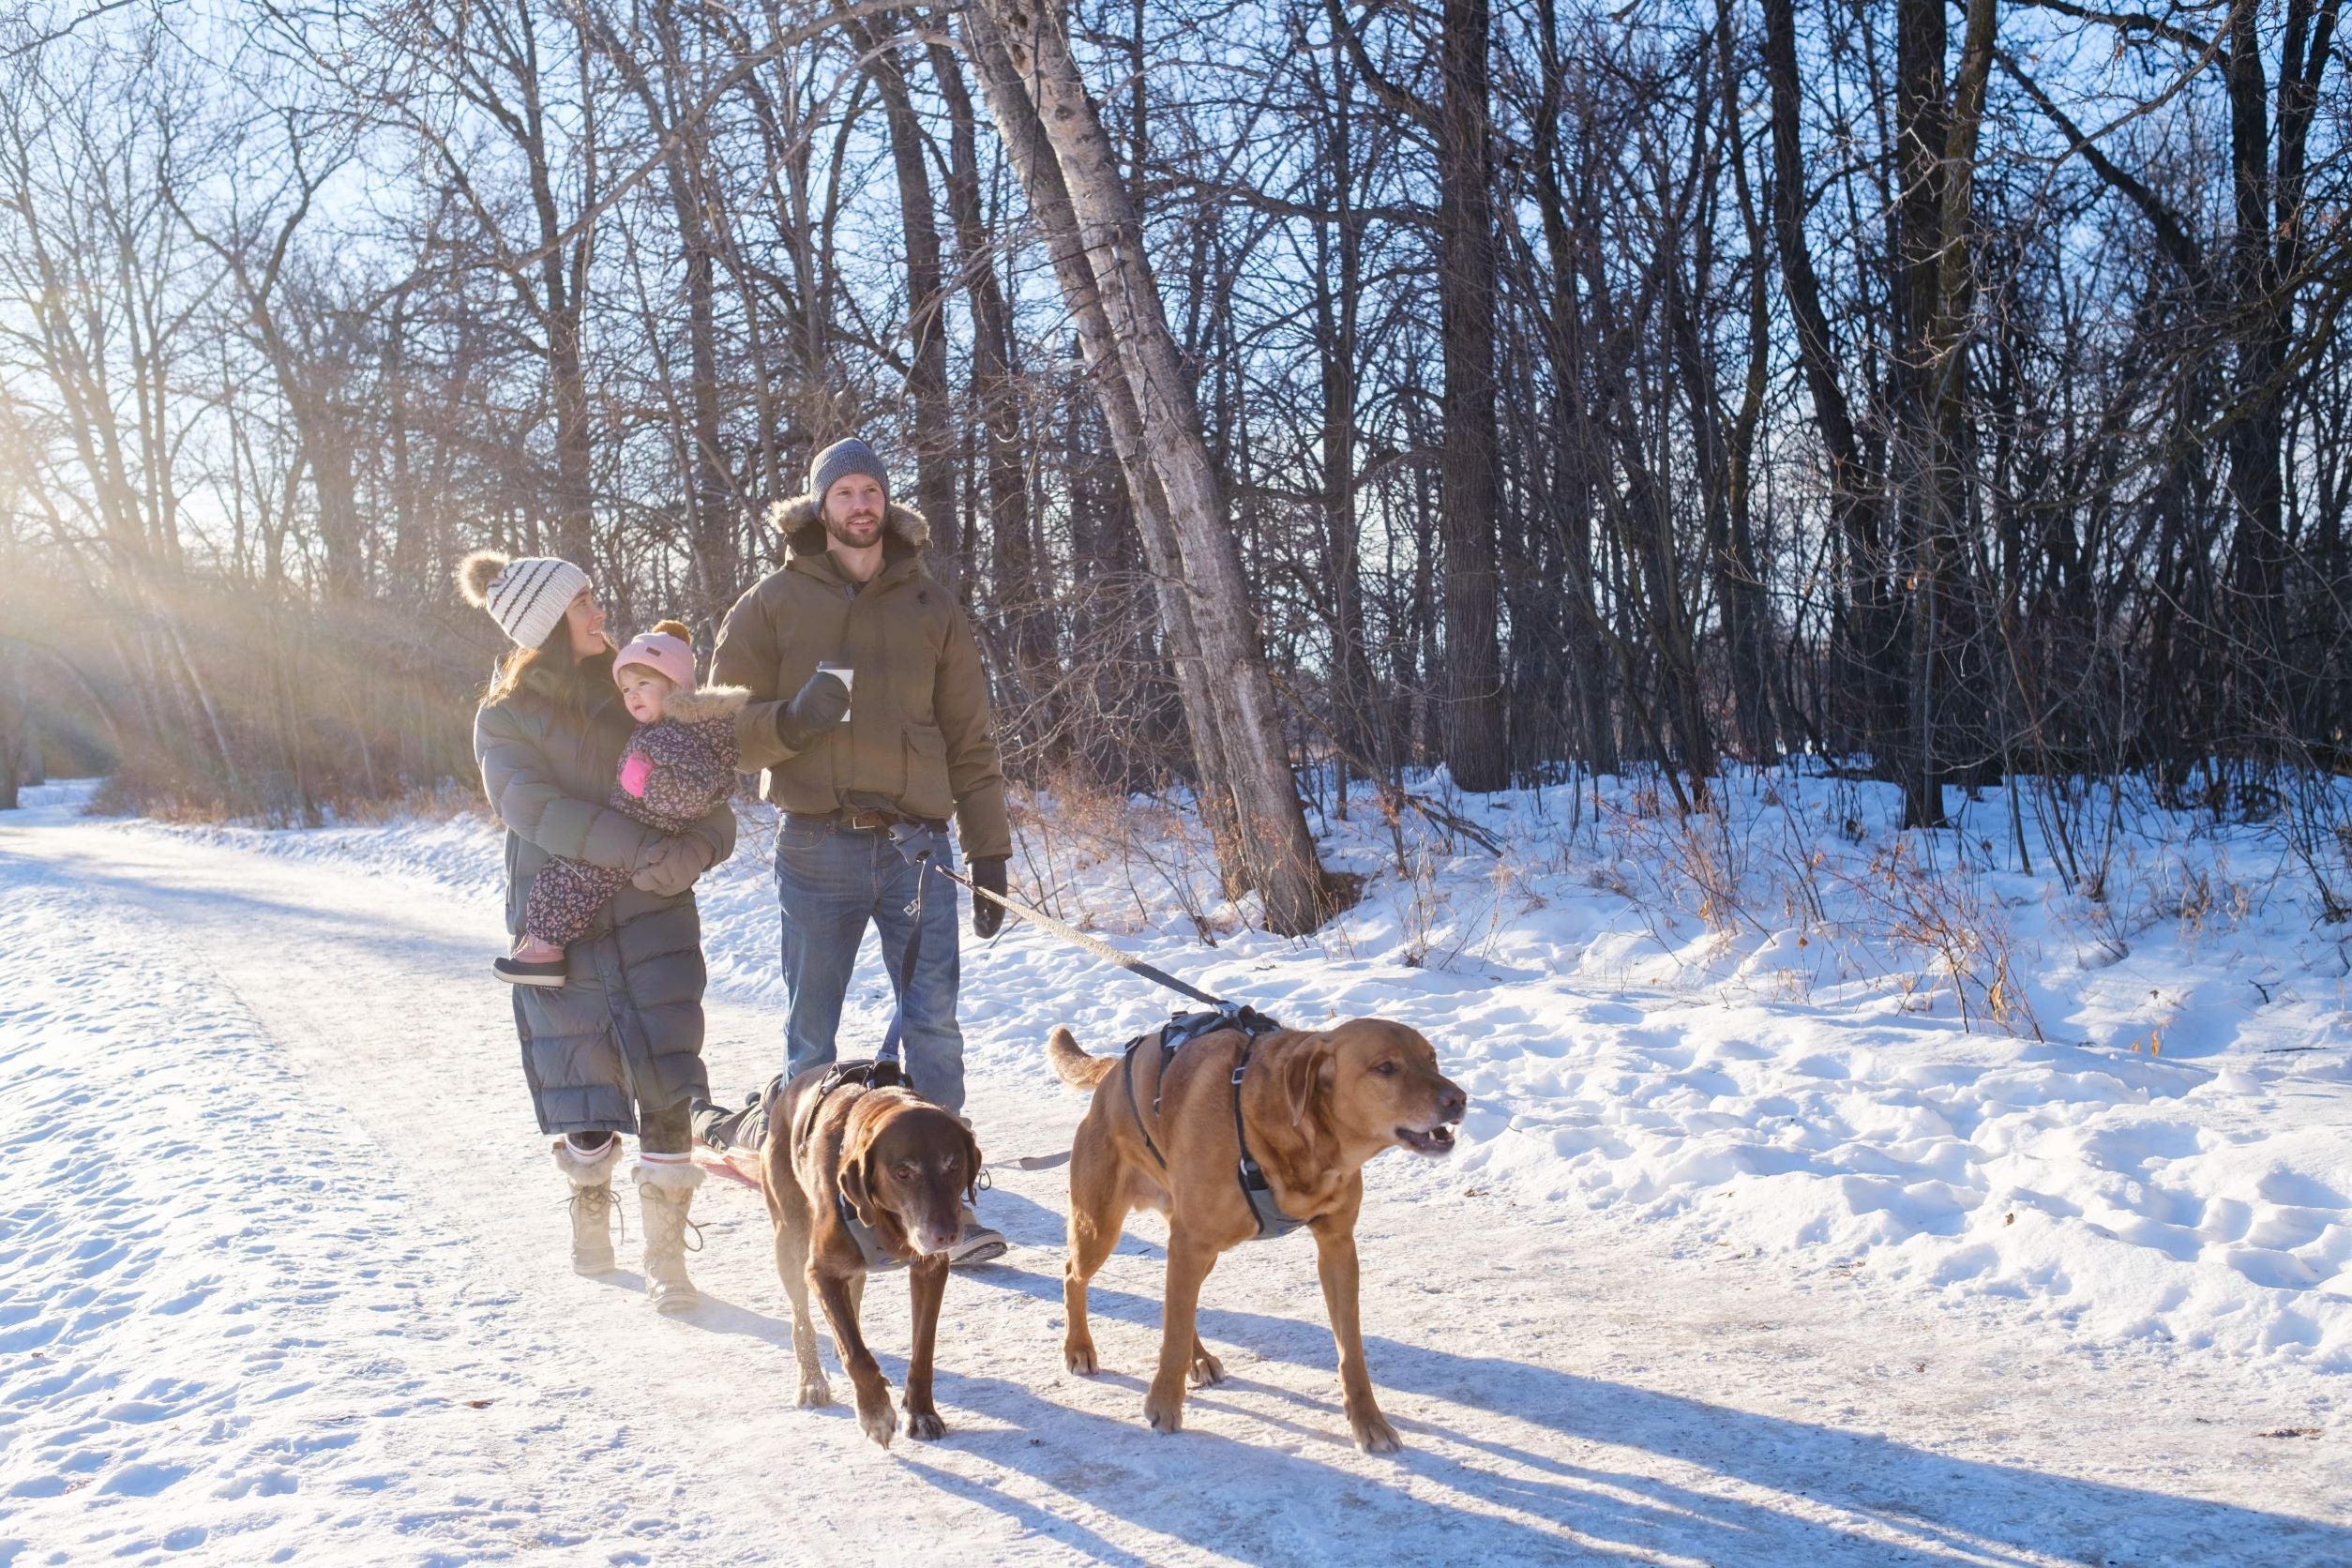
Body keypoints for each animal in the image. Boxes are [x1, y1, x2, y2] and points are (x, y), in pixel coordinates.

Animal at [1044, 1024, 1457, 1457]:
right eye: (1385, 1067)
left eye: (1431, 1058)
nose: (1459, 1099)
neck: (1301, 1138)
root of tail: (1112, 1072)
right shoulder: (1190, 1242)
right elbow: (1172, 1336)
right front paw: (1163, 1405)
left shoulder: (1337, 1248)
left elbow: (1352, 1352)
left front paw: (1369, 1421)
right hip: (1103, 1228)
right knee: (1075, 1274)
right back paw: (1078, 1347)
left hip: (1200, 1249)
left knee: (1179, 1306)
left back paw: (1197, 1358)